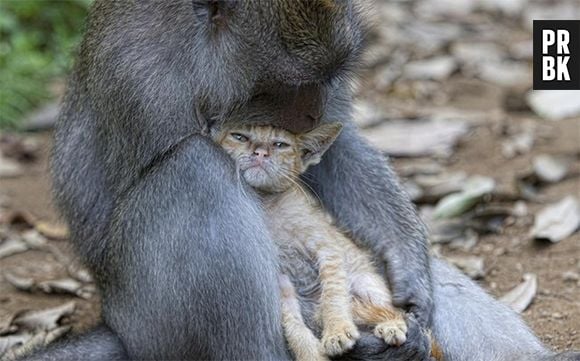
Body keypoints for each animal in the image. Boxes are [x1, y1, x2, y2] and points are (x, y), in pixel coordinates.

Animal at [21, 0, 580, 360]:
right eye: (288, 84)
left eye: (328, 79)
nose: (311, 110)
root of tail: (114, 322)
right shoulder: (140, 78)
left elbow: (334, 154)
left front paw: (409, 272)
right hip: (146, 319)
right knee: (195, 169)